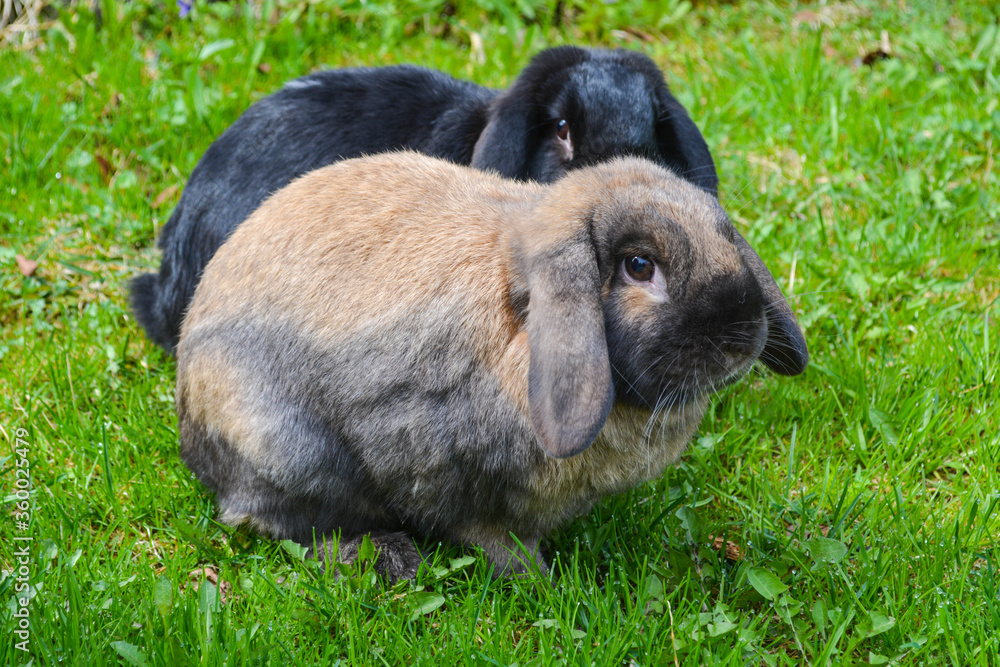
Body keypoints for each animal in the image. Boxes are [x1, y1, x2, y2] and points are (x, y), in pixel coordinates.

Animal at [174, 151, 807, 581]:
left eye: (726, 238)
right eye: (638, 266)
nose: (743, 337)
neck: (520, 324)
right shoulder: (443, 470)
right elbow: (487, 534)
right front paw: (542, 582)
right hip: (286, 446)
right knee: (274, 521)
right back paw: (385, 558)